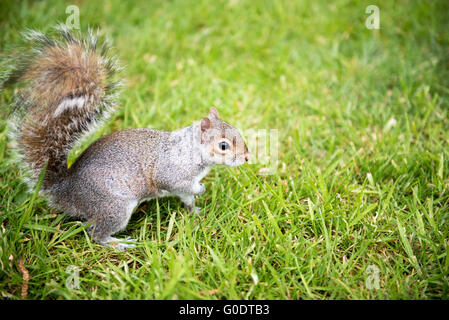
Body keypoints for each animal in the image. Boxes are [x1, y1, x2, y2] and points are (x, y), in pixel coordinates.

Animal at [4, 25, 248, 250]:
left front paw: (196, 210)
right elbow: (176, 183)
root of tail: (66, 191)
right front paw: (202, 190)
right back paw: (119, 243)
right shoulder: (173, 172)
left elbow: (186, 197)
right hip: (115, 207)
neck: (191, 149)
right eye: (223, 145)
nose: (246, 158)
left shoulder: (183, 186)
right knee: (95, 233)